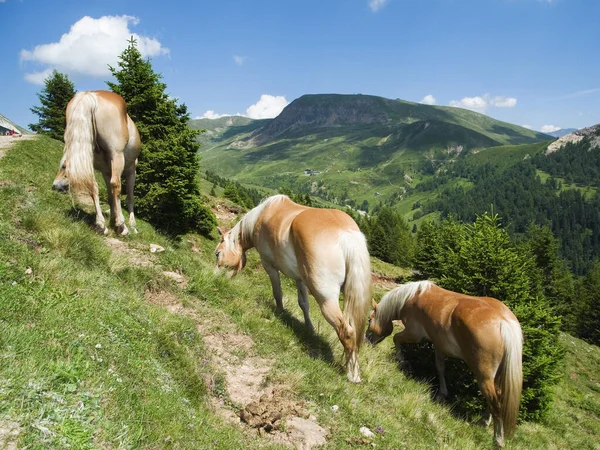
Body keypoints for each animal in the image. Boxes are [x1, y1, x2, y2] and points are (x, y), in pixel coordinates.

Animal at [51, 88, 141, 236]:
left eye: (64, 167)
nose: (55, 186)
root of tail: (89, 96)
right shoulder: (130, 171)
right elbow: (128, 197)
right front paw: (129, 225)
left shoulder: (106, 171)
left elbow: (111, 197)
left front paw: (112, 221)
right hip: (116, 155)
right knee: (116, 185)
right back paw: (122, 226)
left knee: (93, 185)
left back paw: (101, 225)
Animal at [216, 195, 370, 382]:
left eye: (217, 254)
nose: (214, 278)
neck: (262, 215)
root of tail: (346, 234)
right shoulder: (300, 279)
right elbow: (303, 303)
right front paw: (309, 328)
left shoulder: (269, 265)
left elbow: (278, 292)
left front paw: (280, 312)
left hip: (326, 299)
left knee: (347, 332)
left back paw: (352, 375)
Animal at [366, 282, 520, 446]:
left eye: (369, 320)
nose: (366, 340)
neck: (411, 297)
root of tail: (503, 321)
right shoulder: (438, 344)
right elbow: (440, 367)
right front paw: (442, 394)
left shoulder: (414, 334)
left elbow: (396, 338)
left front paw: (401, 361)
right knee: (498, 395)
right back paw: (484, 422)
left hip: (484, 376)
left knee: (496, 402)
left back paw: (498, 439)